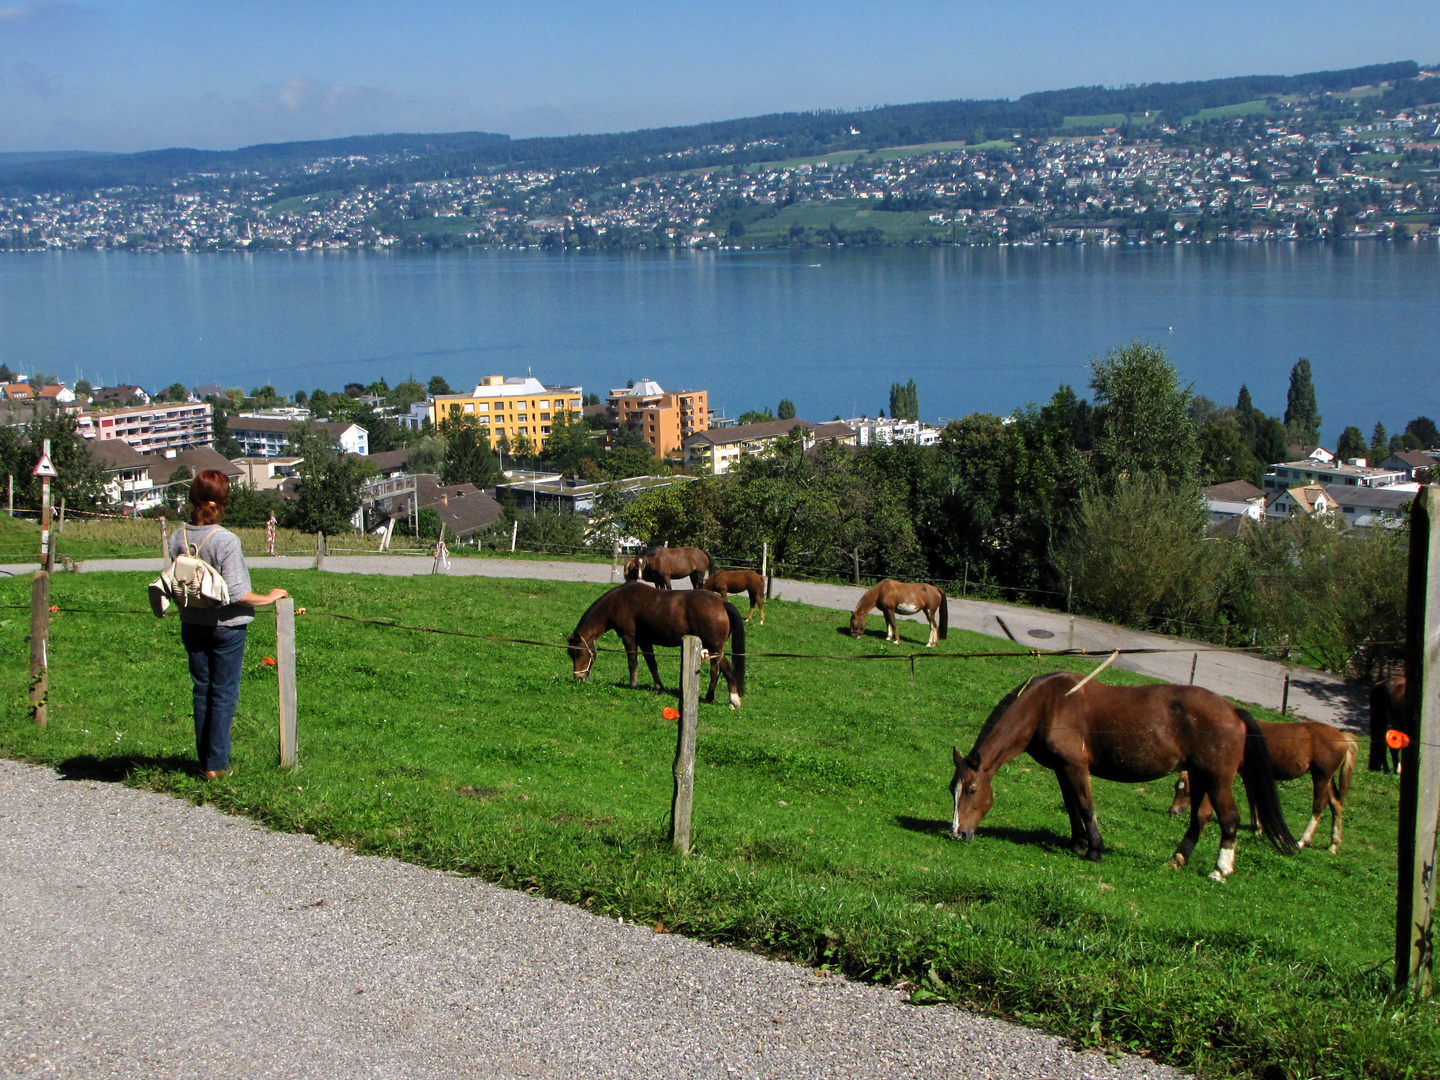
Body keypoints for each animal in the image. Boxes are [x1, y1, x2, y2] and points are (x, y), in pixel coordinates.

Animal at [561, 584, 748, 711]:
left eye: (579, 654)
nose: (579, 678)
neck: (619, 600)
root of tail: (721, 603)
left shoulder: (629, 637)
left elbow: (632, 661)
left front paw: (633, 685)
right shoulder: (645, 641)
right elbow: (652, 664)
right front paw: (659, 688)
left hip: (714, 647)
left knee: (726, 669)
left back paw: (732, 700)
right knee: (717, 670)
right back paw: (713, 697)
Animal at [950, 673, 1301, 881]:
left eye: (972, 790)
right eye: (952, 788)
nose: (958, 833)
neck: (1046, 705)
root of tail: (1233, 710)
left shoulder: (1076, 767)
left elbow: (1086, 807)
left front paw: (1094, 850)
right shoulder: (1063, 769)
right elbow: (1072, 807)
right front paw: (1077, 843)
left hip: (1217, 780)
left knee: (1229, 819)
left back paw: (1220, 869)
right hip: (1200, 778)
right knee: (1199, 820)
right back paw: (1177, 859)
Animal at [1169, 722, 1359, 858]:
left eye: (1187, 793)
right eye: (1175, 787)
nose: (1173, 812)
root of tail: (1343, 737)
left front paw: (1258, 828)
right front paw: (1260, 828)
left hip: (1321, 776)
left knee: (1320, 805)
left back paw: (1302, 841)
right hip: (1328, 778)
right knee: (1336, 804)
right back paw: (1333, 844)